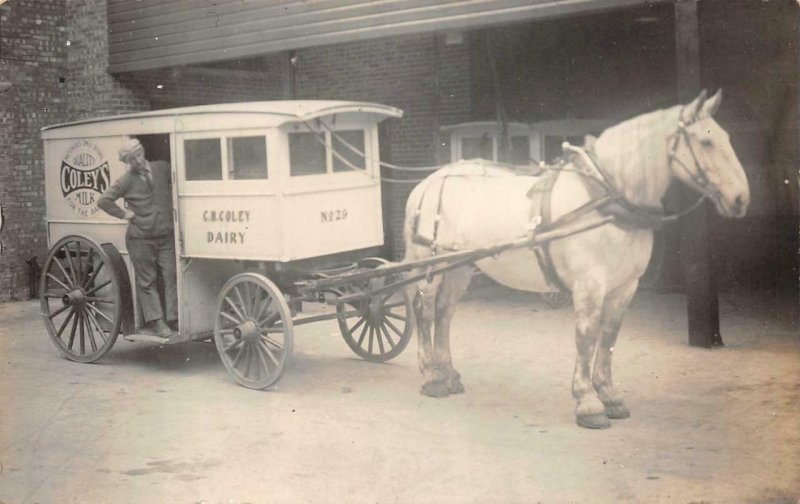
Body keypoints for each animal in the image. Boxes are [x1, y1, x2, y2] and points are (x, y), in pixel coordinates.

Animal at [406, 90, 752, 430]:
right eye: (706, 142)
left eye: (727, 137)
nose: (741, 198)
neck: (604, 199)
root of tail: (427, 183)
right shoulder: (590, 283)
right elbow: (586, 336)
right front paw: (588, 402)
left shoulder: (625, 287)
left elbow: (609, 336)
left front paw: (610, 396)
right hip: (432, 265)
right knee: (425, 309)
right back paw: (432, 376)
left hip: (461, 267)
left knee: (444, 313)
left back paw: (449, 373)